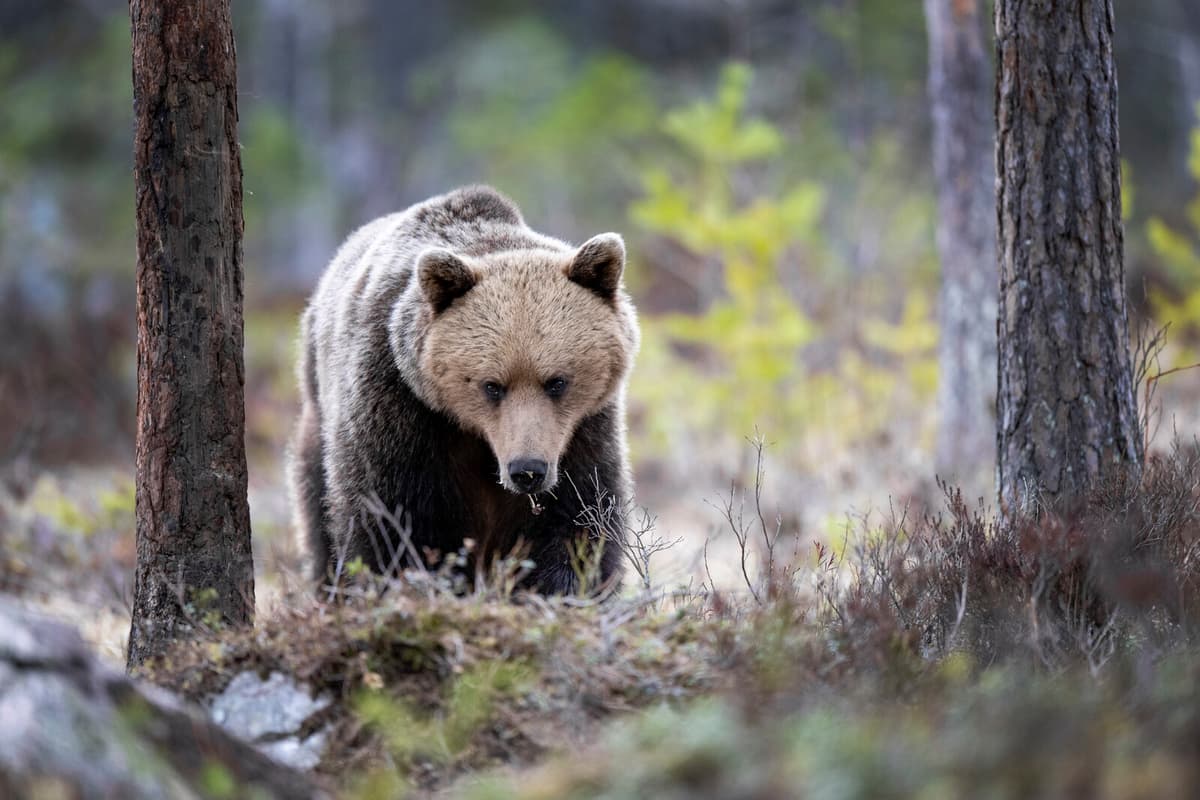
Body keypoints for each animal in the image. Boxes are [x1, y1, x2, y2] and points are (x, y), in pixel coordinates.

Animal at [288, 186, 639, 594]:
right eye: (492, 385)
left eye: (557, 381)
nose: (527, 470)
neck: (475, 435)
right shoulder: (399, 409)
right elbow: (391, 520)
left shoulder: (583, 430)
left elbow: (579, 520)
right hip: (317, 412)